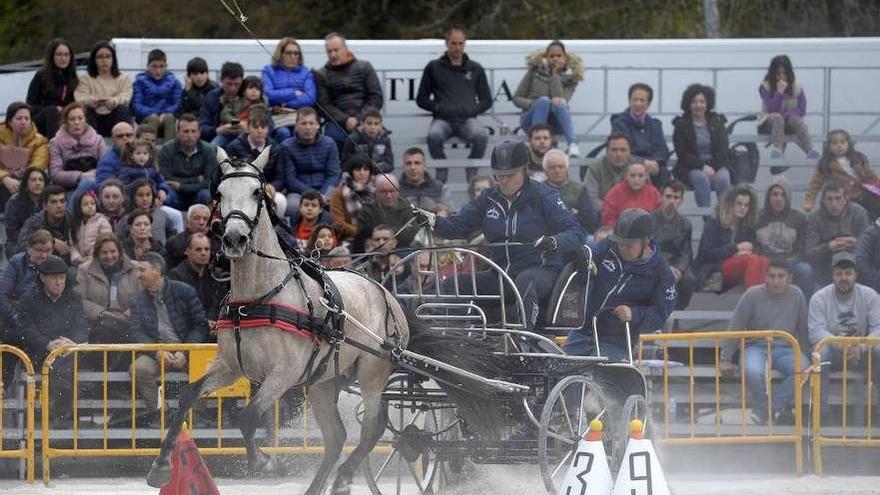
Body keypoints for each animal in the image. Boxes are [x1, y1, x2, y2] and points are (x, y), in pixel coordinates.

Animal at [149, 147, 412, 495]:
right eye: (219, 193)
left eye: (256, 192)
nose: (234, 239)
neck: (260, 295)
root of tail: (387, 294)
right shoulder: (230, 367)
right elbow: (188, 396)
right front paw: (160, 465)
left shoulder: (282, 375)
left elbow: (247, 419)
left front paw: (263, 461)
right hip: (323, 381)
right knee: (336, 437)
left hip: (371, 373)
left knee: (372, 429)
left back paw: (343, 477)